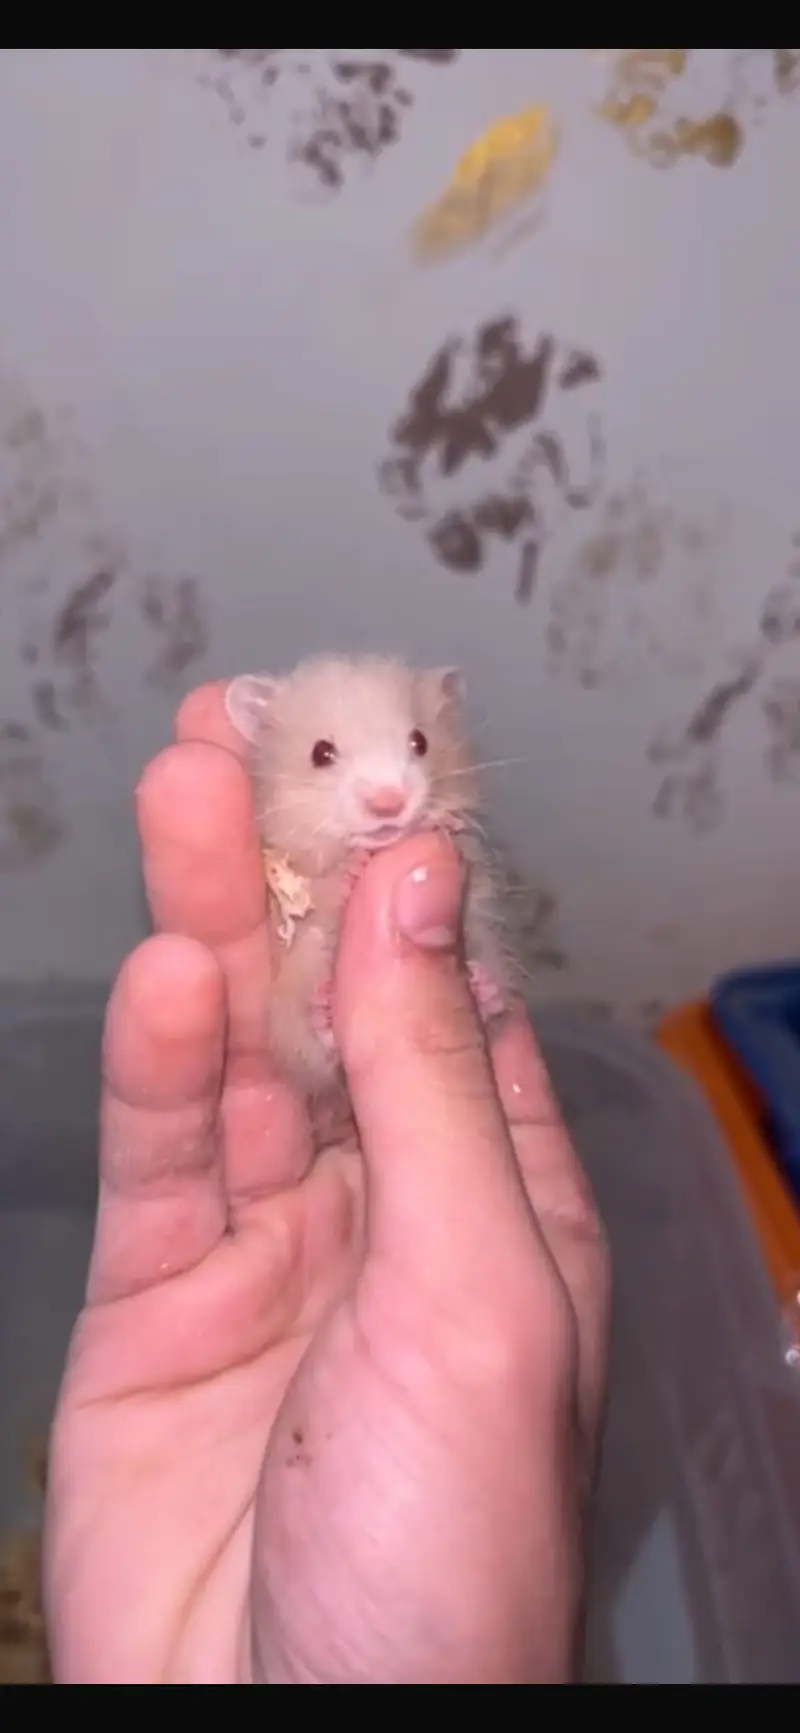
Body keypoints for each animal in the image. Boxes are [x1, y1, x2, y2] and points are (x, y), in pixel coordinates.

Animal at [225, 654, 521, 1103]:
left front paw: (441, 824)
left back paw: (482, 988)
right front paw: (354, 866)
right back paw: (324, 1012)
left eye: (420, 742)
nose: (389, 804)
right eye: (321, 753)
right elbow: (319, 889)